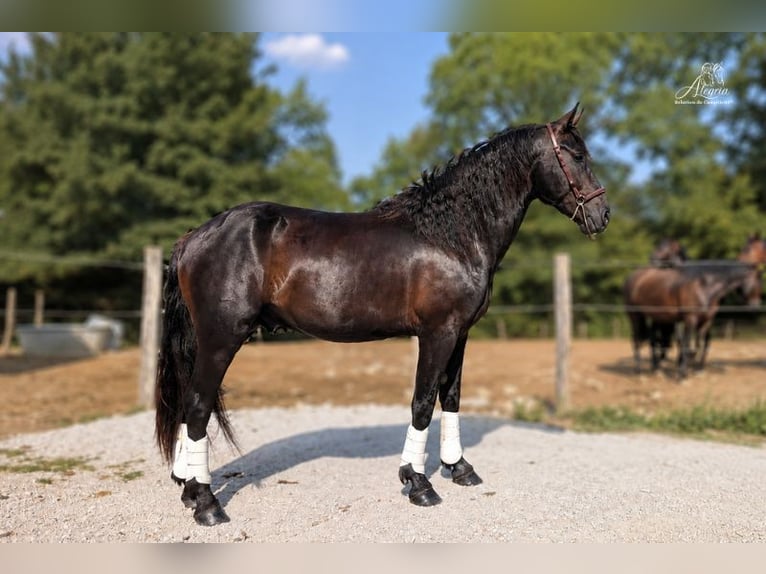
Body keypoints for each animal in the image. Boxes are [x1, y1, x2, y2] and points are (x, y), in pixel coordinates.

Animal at [154, 103, 610, 526]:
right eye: (577, 155)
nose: (603, 216)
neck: (452, 234)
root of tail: (193, 237)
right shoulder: (437, 333)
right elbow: (423, 402)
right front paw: (418, 483)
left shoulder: (460, 334)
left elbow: (451, 397)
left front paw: (458, 468)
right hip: (221, 338)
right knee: (197, 404)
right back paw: (207, 504)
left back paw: (189, 488)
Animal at [624, 257, 762, 378]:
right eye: (758, 283)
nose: (756, 306)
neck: (703, 285)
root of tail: (632, 277)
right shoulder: (690, 320)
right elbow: (686, 345)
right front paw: (682, 374)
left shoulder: (705, 322)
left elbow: (699, 345)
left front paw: (695, 370)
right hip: (634, 316)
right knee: (636, 340)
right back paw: (638, 371)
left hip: (655, 317)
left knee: (653, 341)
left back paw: (656, 369)